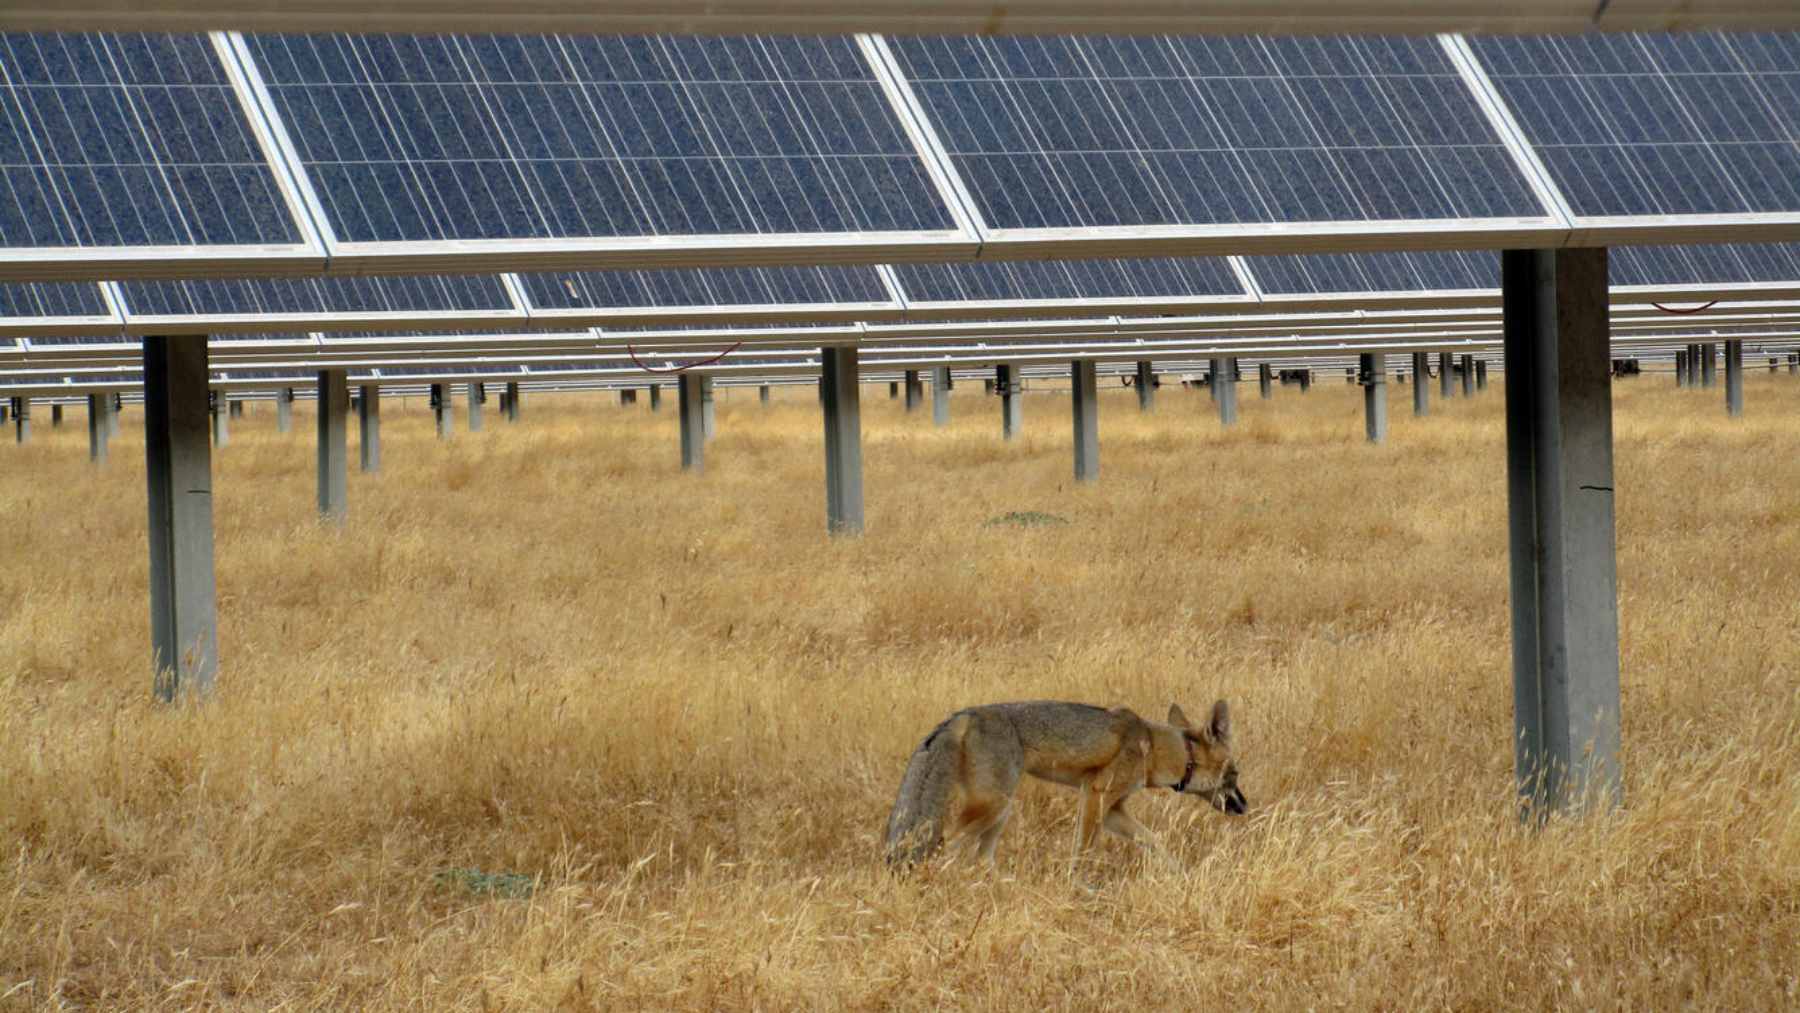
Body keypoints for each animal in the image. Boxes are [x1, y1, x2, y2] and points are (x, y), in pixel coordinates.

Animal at [884, 698, 1246, 868]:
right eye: (1235, 774)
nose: (1244, 806)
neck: (1152, 744)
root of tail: (962, 715)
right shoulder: (1096, 796)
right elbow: (1082, 851)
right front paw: (1079, 887)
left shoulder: (1114, 809)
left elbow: (1155, 841)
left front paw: (1180, 874)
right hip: (994, 807)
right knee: (943, 846)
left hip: (999, 812)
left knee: (979, 858)